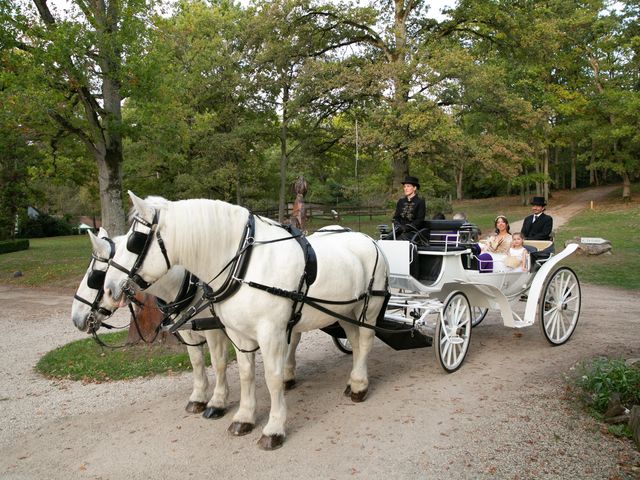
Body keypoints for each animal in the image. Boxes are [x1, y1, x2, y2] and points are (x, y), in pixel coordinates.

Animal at [71, 228, 231, 416]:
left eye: (96, 277)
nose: (76, 318)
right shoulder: (187, 330)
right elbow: (196, 361)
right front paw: (198, 398)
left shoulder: (214, 330)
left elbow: (218, 362)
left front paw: (218, 401)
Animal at [104, 191, 390, 450]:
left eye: (135, 241)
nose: (109, 289)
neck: (243, 264)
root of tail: (370, 240)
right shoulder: (238, 333)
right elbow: (245, 374)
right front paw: (244, 417)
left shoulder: (270, 333)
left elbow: (272, 378)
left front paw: (274, 428)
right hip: (347, 312)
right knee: (355, 341)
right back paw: (354, 381)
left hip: (369, 309)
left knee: (365, 341)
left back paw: (360, 387)